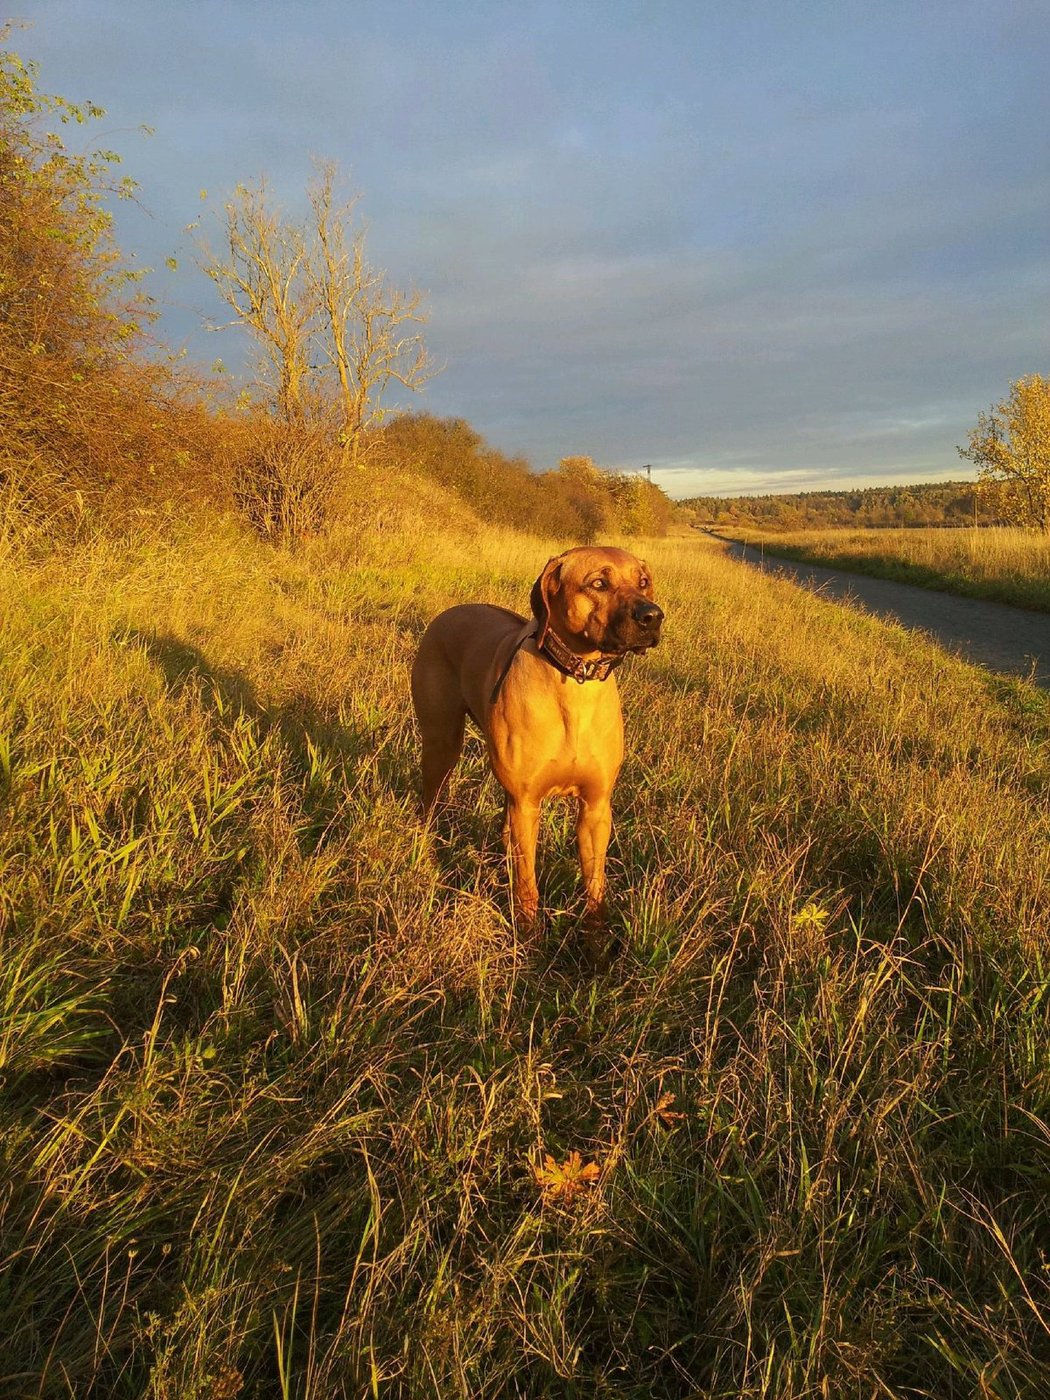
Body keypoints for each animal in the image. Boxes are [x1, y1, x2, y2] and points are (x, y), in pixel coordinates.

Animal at [411, 546, 666, 929]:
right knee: (430, 799)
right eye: (599, 583)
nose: (653, 616)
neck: (576, 683)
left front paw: (596, 936)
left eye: (644, 582)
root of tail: (450, 612)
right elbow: (527, 885)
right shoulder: (527, 803)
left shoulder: (596, 807)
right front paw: (528, 933)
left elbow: (595, 883)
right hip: (442, 743)